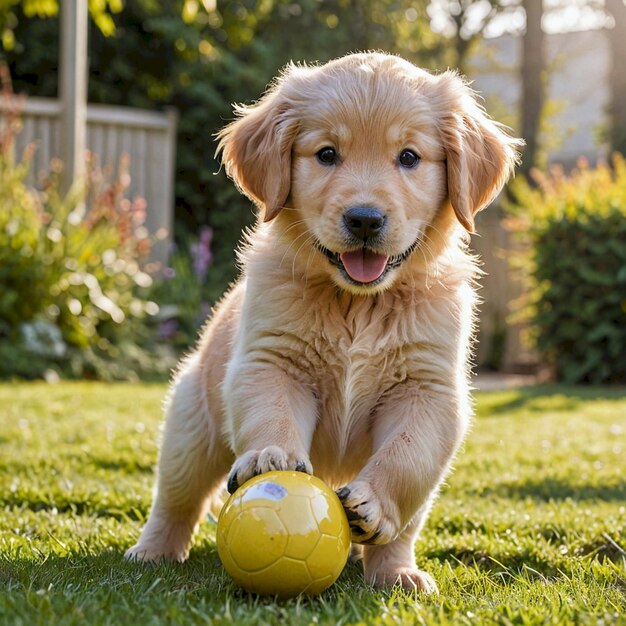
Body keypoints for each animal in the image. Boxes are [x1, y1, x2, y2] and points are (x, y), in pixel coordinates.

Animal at [124, 50, 520, 588]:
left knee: (407, 522)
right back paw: (153, 550)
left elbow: (407, 457)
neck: (357, 301)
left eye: (409, 157)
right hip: (190, 426)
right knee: (176, 498)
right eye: (327, 154)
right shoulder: (272, 361)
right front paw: (270, 456)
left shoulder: (428, 390)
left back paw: (397, 572)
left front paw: (375, 507)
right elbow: (271, 411)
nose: (365, 219)